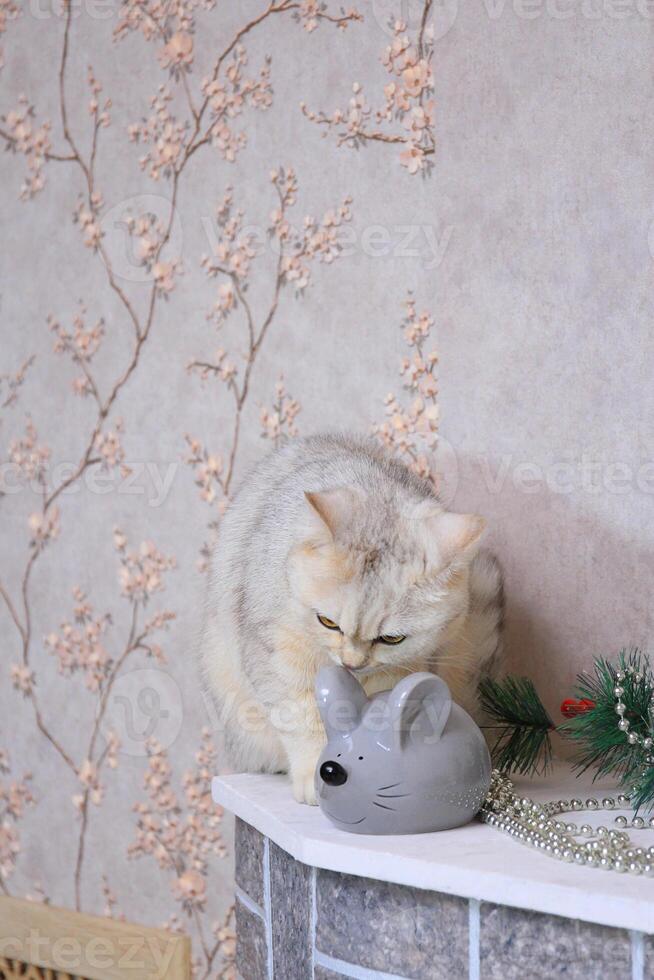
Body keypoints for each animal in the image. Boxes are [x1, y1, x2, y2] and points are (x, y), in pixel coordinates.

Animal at [201, 434, 508, 804]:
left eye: (392, 638)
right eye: (328, 623)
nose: (351, 663)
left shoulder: (403, 668)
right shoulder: (277, 651)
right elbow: (303, 718)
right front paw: (315, 776)